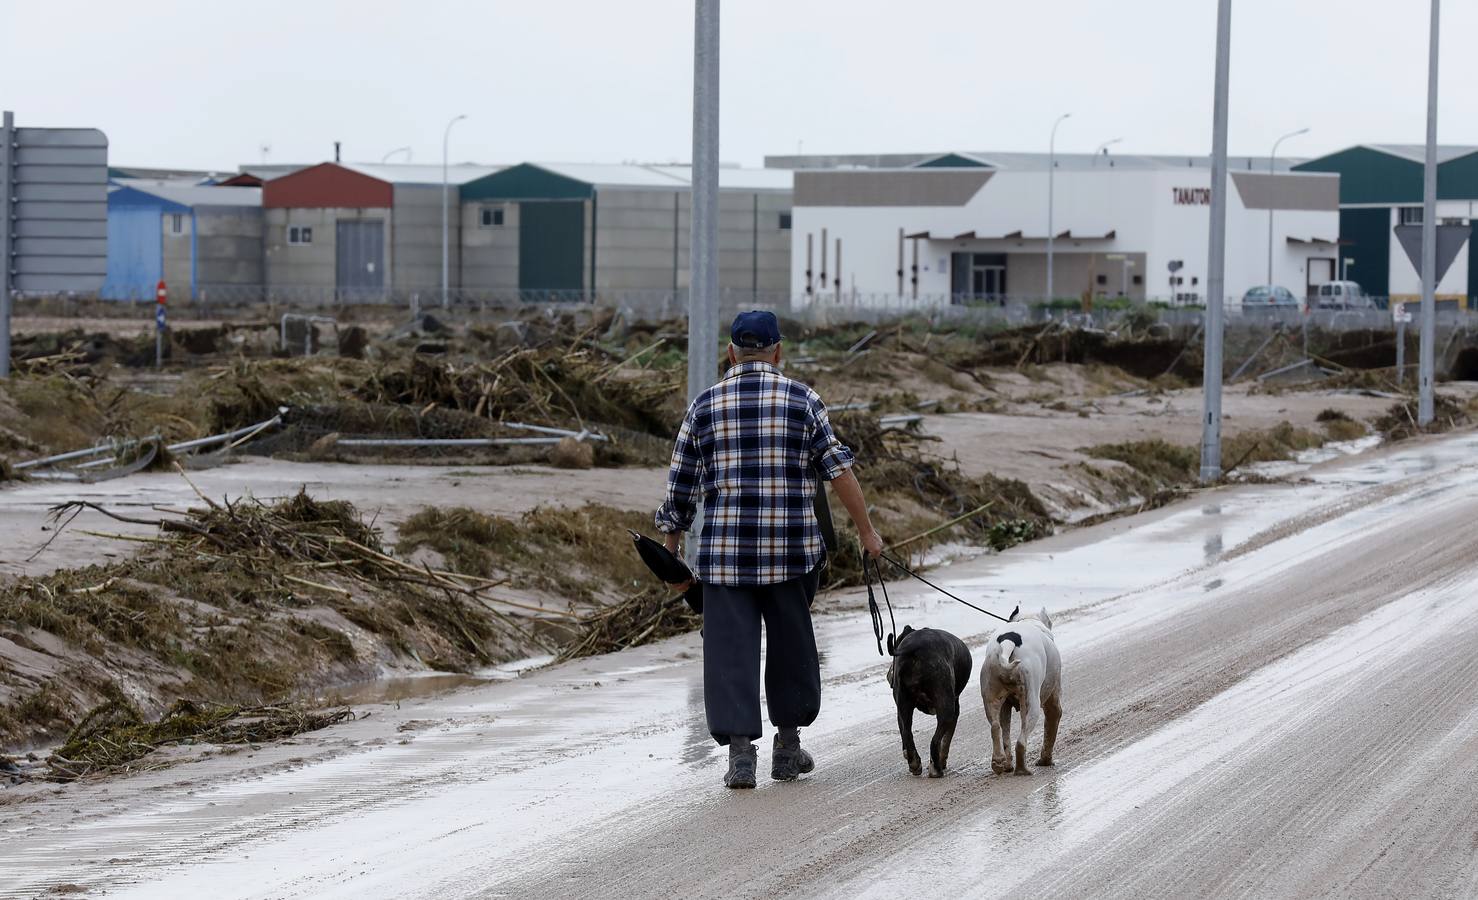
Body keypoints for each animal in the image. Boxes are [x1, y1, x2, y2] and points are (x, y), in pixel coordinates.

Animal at [886, 623, 969, 774]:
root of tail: (914, 647)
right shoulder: (955, 710)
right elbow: (946, 740)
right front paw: (942, 760)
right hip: (947, 705)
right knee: (936, 739)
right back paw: (936, 768)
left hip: (904, 703)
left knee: (907, 732)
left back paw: (914, 762)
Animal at [981, 605, 1064, 774]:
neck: (1028, 620)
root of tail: (1008, 642)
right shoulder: (1052, 702)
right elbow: (1050, 729)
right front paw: (1045, 761)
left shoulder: (1005, 707)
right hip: (1031, 703)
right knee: (1021, 741)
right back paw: (1022, 769)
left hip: (991, 696)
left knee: (996, 727)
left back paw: (1000, 762)